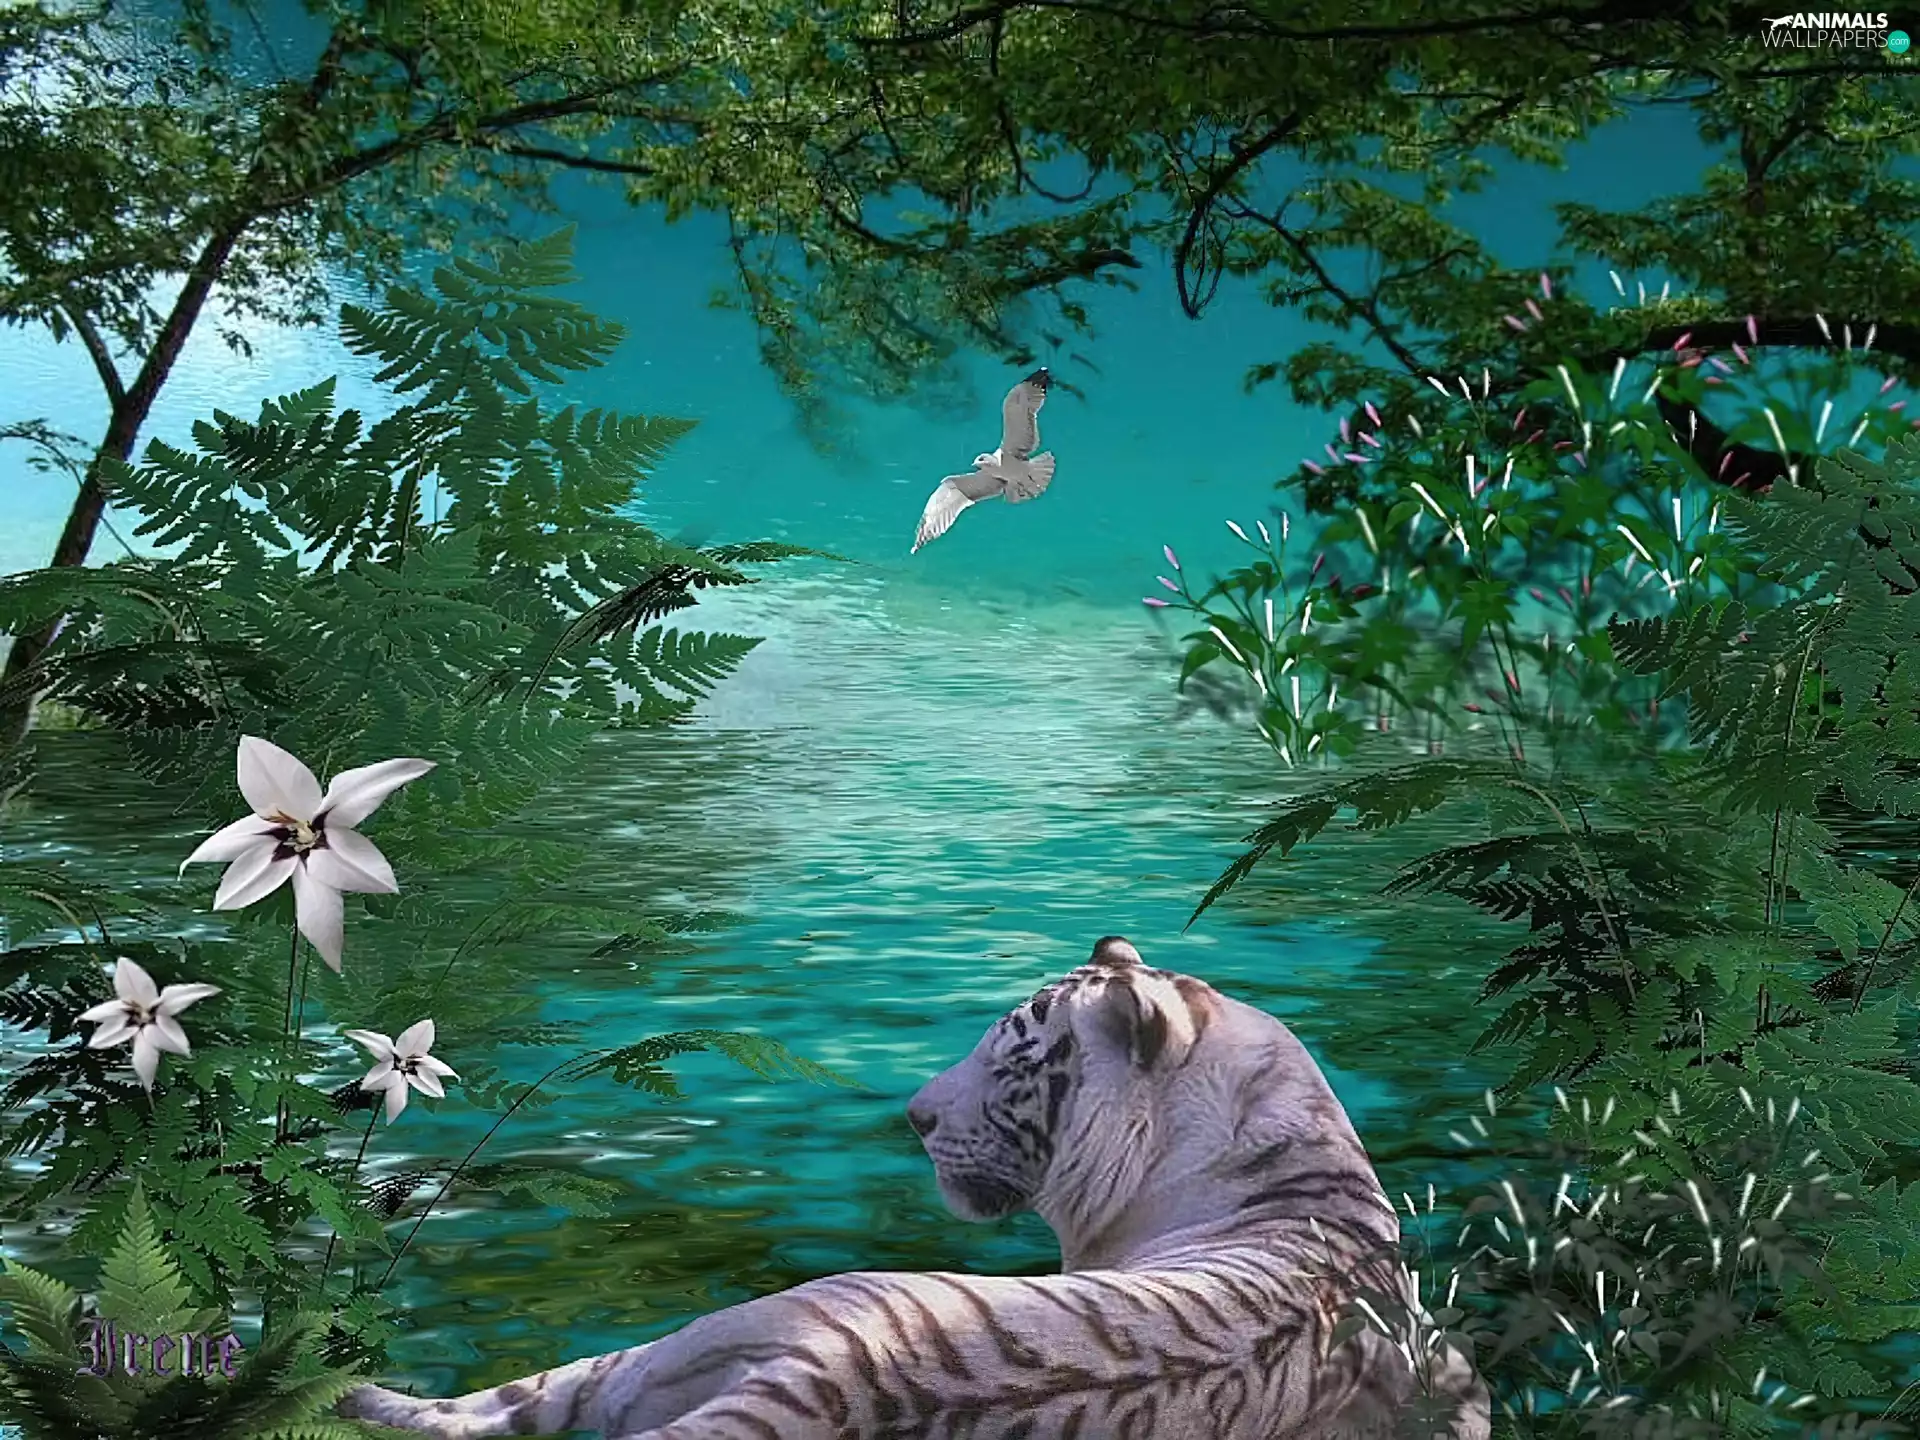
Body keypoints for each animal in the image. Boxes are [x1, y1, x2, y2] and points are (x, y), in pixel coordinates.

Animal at [337, 935, 1490, 1439]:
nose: (915, 1116)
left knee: (490, 1409)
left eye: (1012, 1054)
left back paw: (343, 1385)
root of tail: (835, 1384)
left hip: (698, 1340)